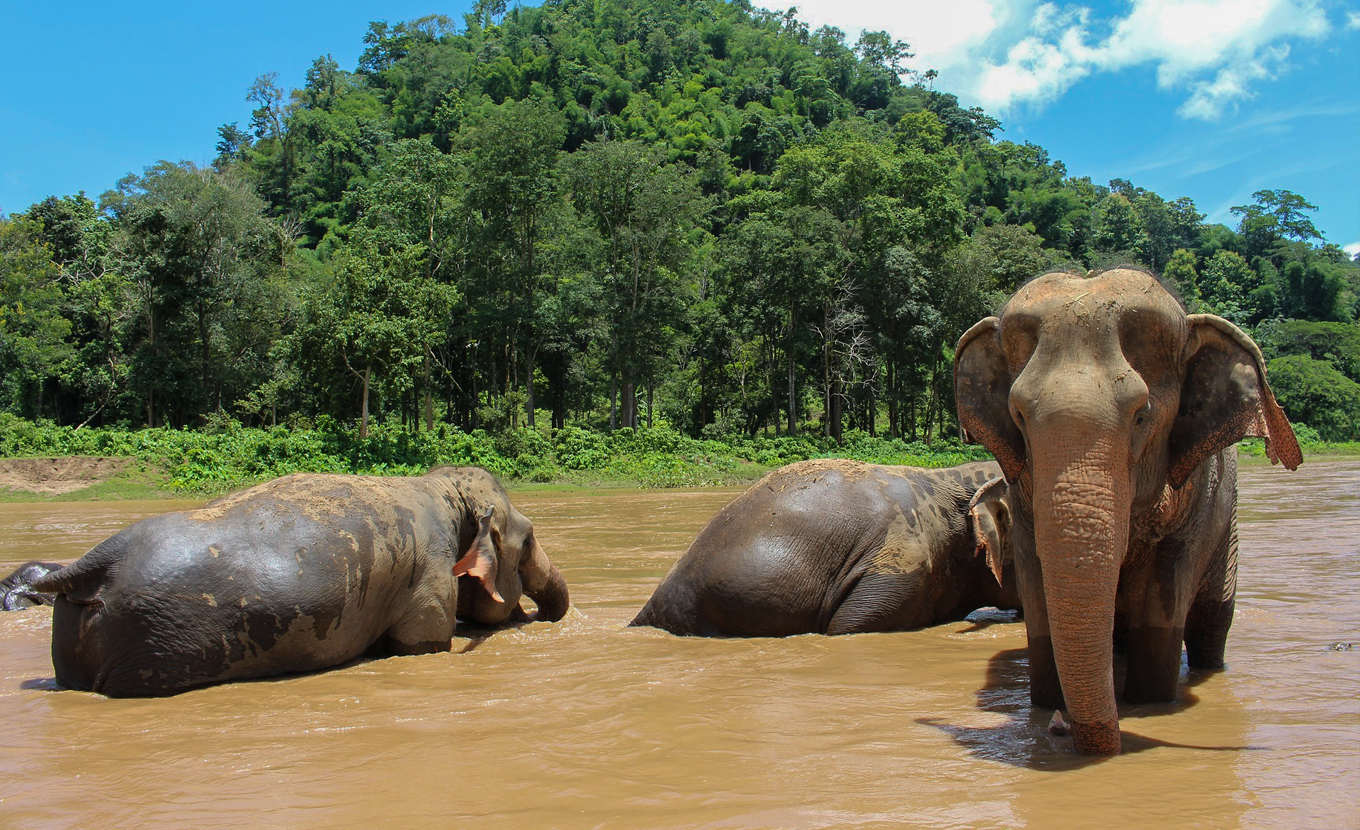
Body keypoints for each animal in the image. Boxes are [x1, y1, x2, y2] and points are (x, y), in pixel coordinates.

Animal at [27, 465, 568, 691]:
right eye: (527, 542)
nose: (537, 616)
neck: (444, 489)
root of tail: (94, 563)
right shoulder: (429, 575)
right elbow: (421, 646)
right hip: (148, 646)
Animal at [952, 265, 1300, 751]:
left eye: (1141, 415)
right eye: (1018, 415)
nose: (1059, 728)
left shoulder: (1199, 497)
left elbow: (1166, 593)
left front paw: (1149, 704)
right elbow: (1037, 586)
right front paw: (1046, 706)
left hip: (1227, 529)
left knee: (1213, 622)